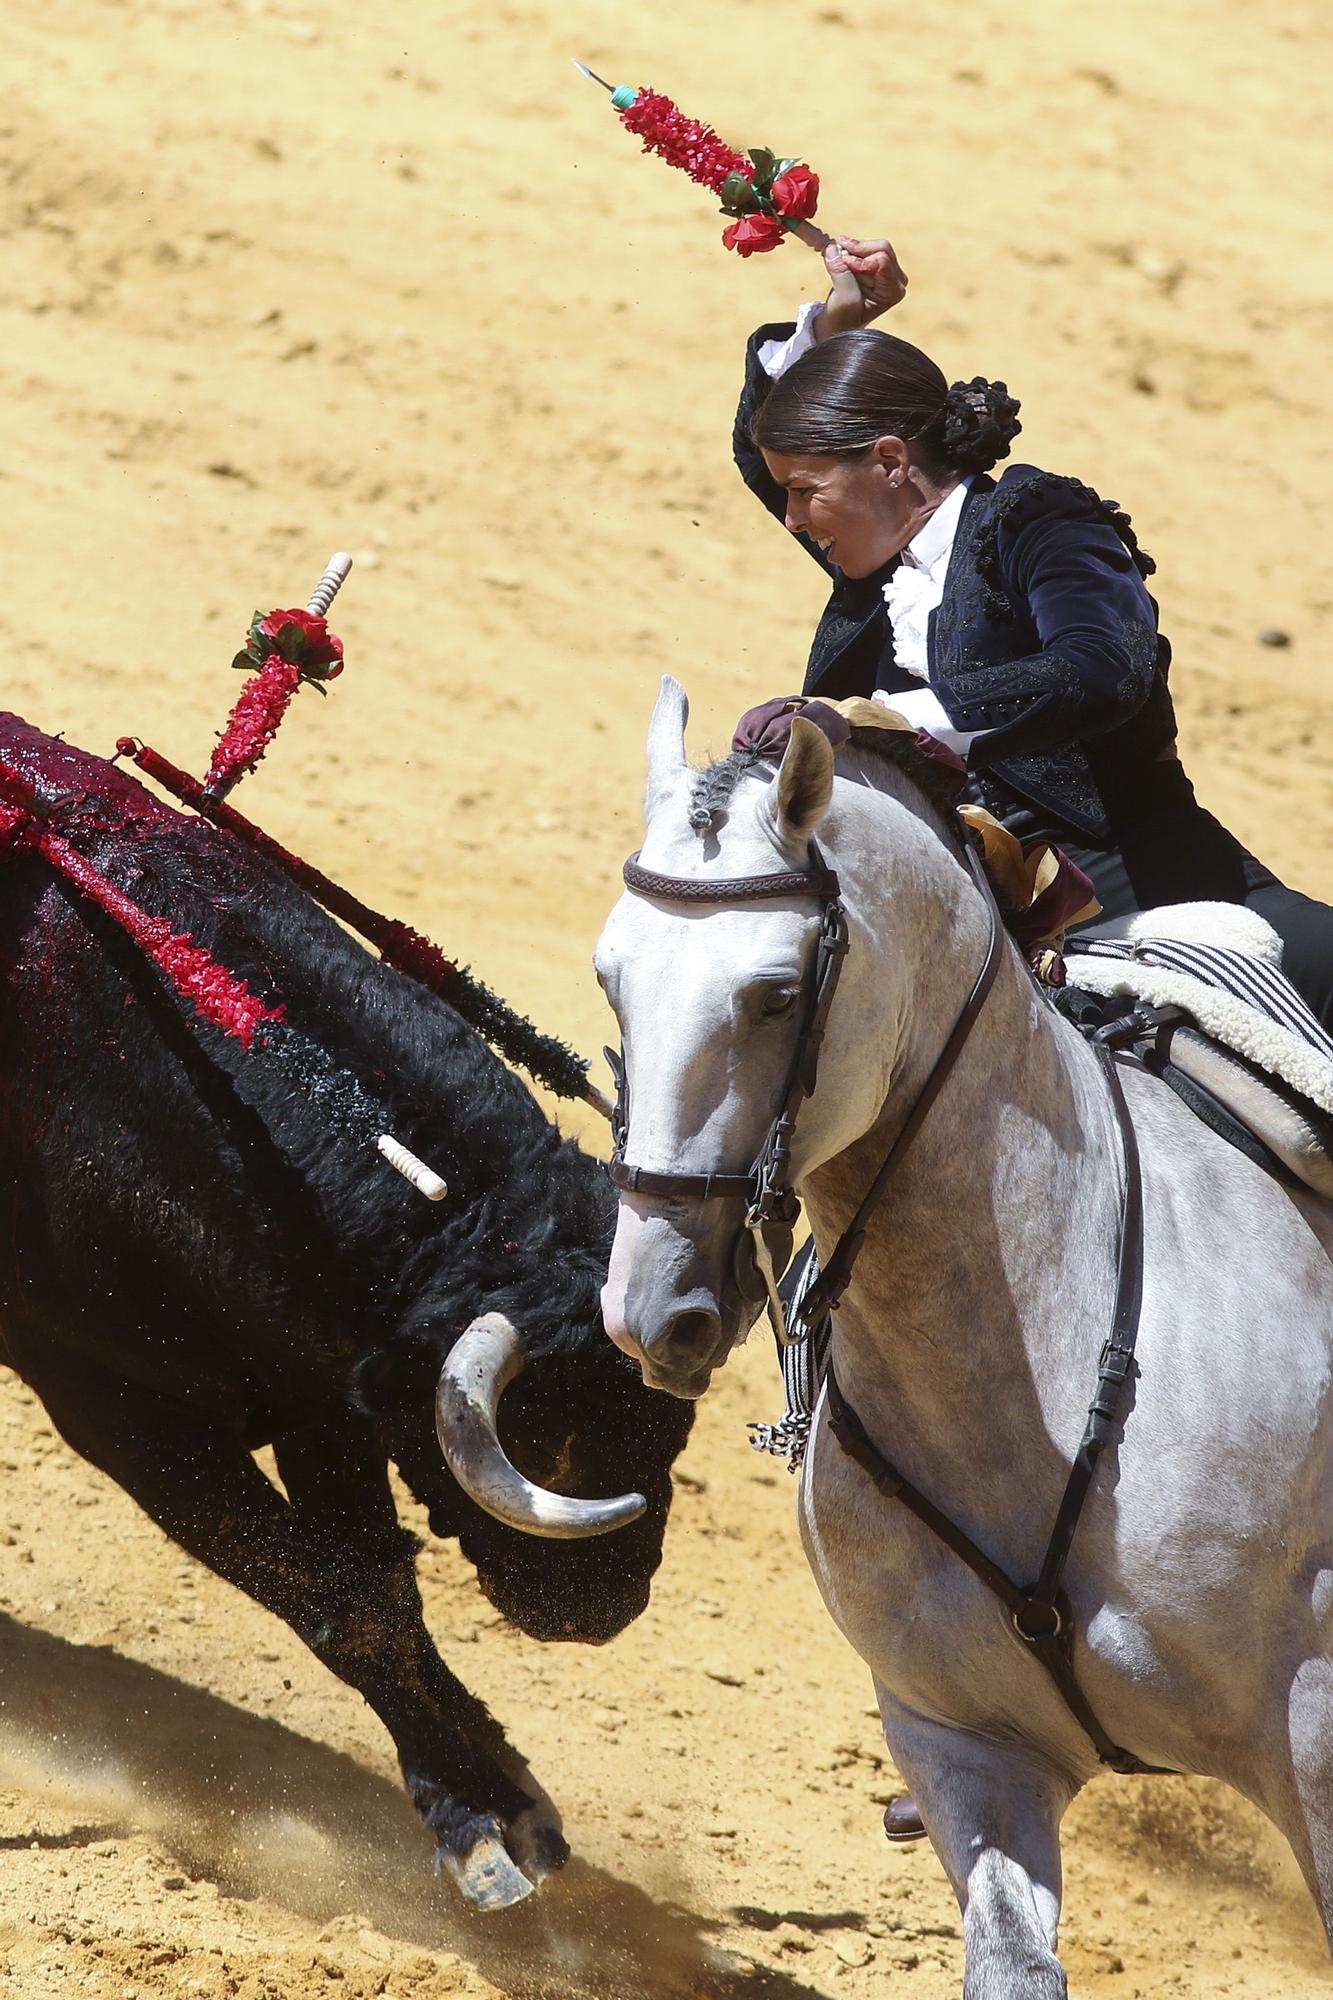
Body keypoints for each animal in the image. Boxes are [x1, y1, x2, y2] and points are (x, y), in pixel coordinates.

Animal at [0, 716, 688, 1904]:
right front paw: (479, 1828)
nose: (606, 1605)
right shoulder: (112, 1404)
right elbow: (339, 1593)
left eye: (670, 1425)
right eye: (548, 1438)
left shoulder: (322, 1396)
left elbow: (380, 1589)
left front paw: (499, 1801)